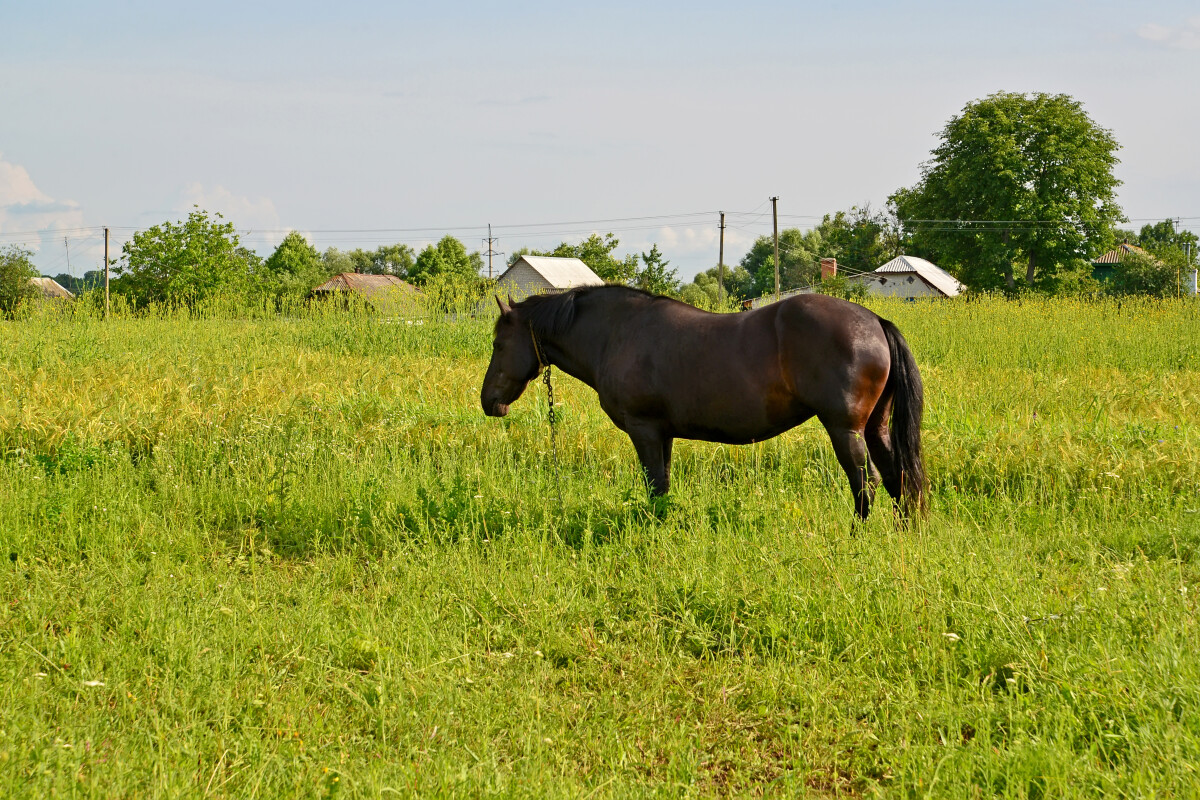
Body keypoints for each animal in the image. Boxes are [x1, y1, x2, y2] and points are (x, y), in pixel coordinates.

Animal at [480, 284, 926, 522]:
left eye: (498, 344)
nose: (489, 402)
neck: (618, 333)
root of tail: (874, 321)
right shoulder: (662, 434)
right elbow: (663, 485)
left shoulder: (644, 430)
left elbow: (655, 485)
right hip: (875, 427)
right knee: (898, 478)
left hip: (844, 429)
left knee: (866, 483)